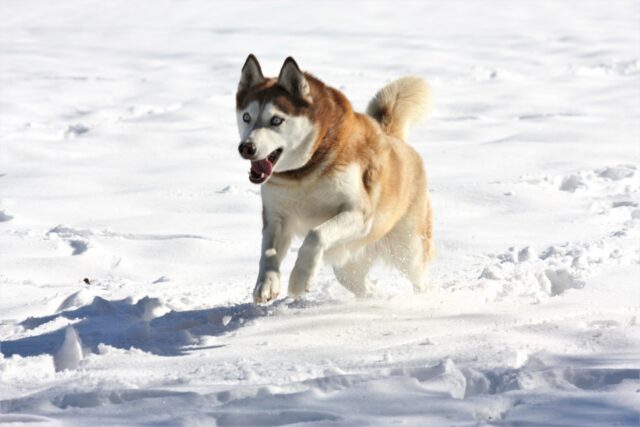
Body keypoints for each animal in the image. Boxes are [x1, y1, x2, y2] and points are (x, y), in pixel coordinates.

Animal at [236, 55, 436, 304]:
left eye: (276, 120)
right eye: (246, 117)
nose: (246, 148)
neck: (303, 174)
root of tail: (391, 136)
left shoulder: (359, 213)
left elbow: (315, 234)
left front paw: (300, 279)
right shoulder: (276, 217)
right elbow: (268, 252)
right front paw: (266, 284)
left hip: (407, 250)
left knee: (420, 279)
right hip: (348, 265)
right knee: (361, 284)